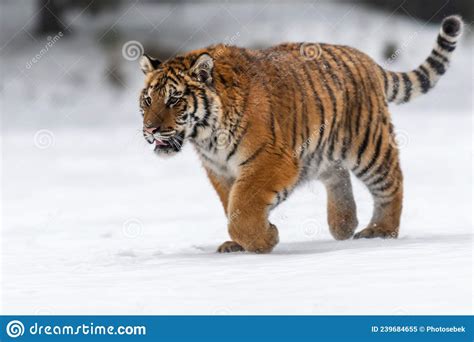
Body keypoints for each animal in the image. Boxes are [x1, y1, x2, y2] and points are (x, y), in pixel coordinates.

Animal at [137, 15, 462, 254]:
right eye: (148, 100)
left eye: (174, 99)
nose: (150, 129)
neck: (207, 137)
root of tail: (363, 56)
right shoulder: (220, 170)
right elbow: (231, 205)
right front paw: (241, 243)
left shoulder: (271, 160)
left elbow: (242, 208)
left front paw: (264, 239)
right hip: (324, 150)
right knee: (338, 175)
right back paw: (343, 224)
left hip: (368, 144)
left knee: (392, 183)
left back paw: (380, 232)